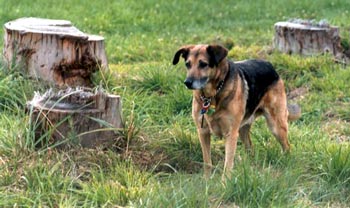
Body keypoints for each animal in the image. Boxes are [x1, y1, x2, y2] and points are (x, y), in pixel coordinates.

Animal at [172, 43, 300, 179]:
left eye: (203, 64)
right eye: (188, 64)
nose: (187, 82)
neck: (212, 96)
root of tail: (270, 65)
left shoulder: (230, 134)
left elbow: (227, 165)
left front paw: (224, 183)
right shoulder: (203, 132)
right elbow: (207, 162)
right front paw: (206, 180)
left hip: (276, 126)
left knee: (287, 147)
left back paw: (286, 165)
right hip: (243, 130)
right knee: (250, 149)